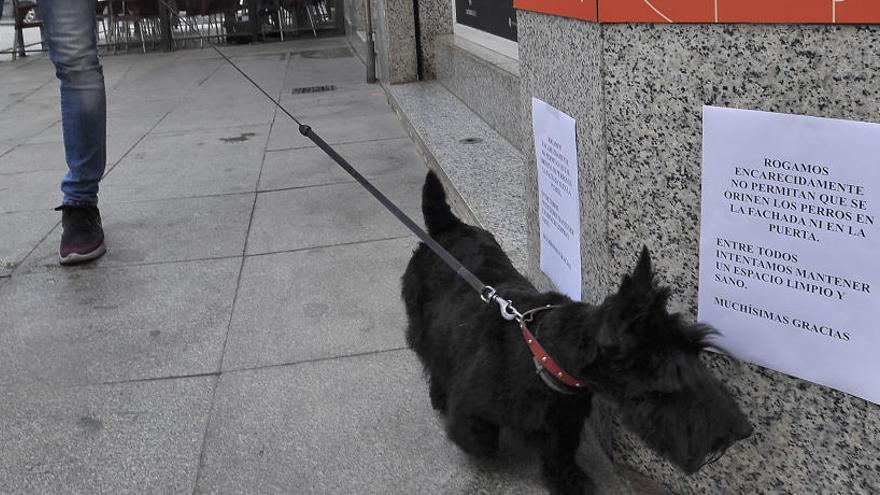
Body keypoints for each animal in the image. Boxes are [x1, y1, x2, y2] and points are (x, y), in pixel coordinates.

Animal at [402, 172, 752, 494]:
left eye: (697, 350)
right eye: (670, 372)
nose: (742, 430)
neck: (544, 354)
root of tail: (447, 227)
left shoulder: (567, 421)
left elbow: (560, 451)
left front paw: (568, 479)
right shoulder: (472, 408)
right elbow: (480, 438)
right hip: (421, 322)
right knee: (430, 356)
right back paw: (438, 394)